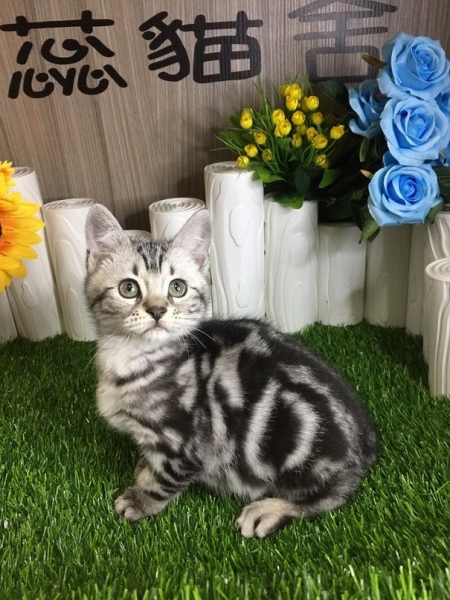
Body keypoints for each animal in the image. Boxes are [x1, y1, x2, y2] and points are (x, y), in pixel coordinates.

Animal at [85, 203, 377, 538]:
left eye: (177, 288)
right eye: (129, 288)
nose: (157, 311)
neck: (132, 358)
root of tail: (367, 444)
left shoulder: (184, 444)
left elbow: (165, 478)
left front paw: (141, 500)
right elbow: (151, 460)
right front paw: (144, 468)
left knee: (332, 495)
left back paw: (269, 510)